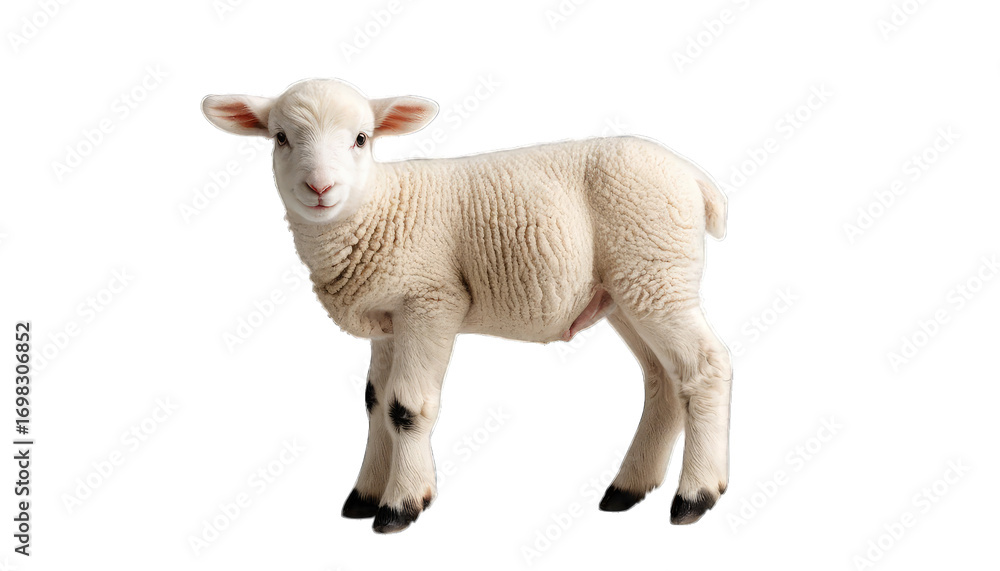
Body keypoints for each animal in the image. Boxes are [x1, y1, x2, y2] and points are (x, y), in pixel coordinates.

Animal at [201, 78, 732, 534]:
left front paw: (401, 505)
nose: (320, 188)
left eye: (361, 139)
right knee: (665, 379)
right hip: (630, 290)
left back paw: (696, 496)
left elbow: (405, 406)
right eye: (280, 138)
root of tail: (692, 176)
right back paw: (629, 488)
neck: (378, 207)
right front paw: (365, 495)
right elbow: (375, 402)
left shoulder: (431, 300)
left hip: (655, 270)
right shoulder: (388, 322)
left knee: (706, 368)